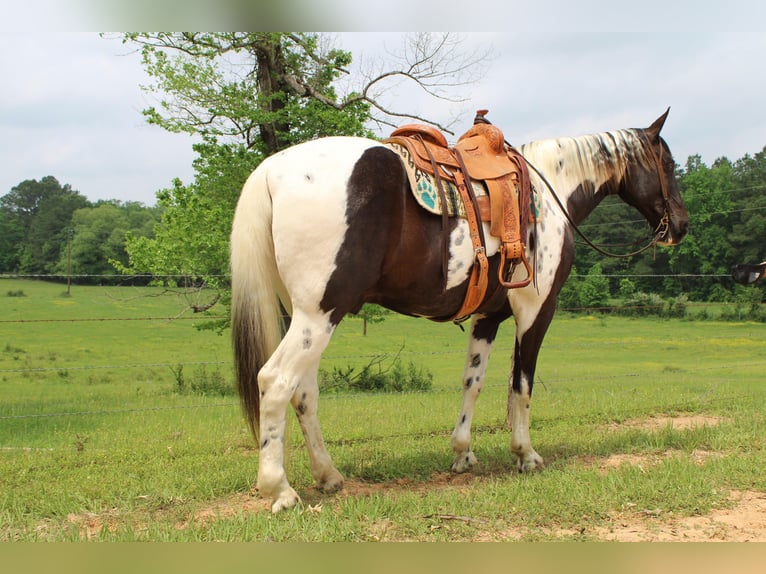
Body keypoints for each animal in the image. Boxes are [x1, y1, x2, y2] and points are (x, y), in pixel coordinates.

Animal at [228, 110, 688, 516]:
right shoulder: (537, 310)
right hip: (319, 314)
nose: (680, 225)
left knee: (304, 393)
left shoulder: (489, 318)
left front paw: (463, 453)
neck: (549, 194)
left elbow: (474, 381)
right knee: (276, 382)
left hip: (307, 317)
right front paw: (525, 455)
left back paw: (328, 475)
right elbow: (522, 385)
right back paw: (280, 490)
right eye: (667, 163)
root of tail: (272, 170)